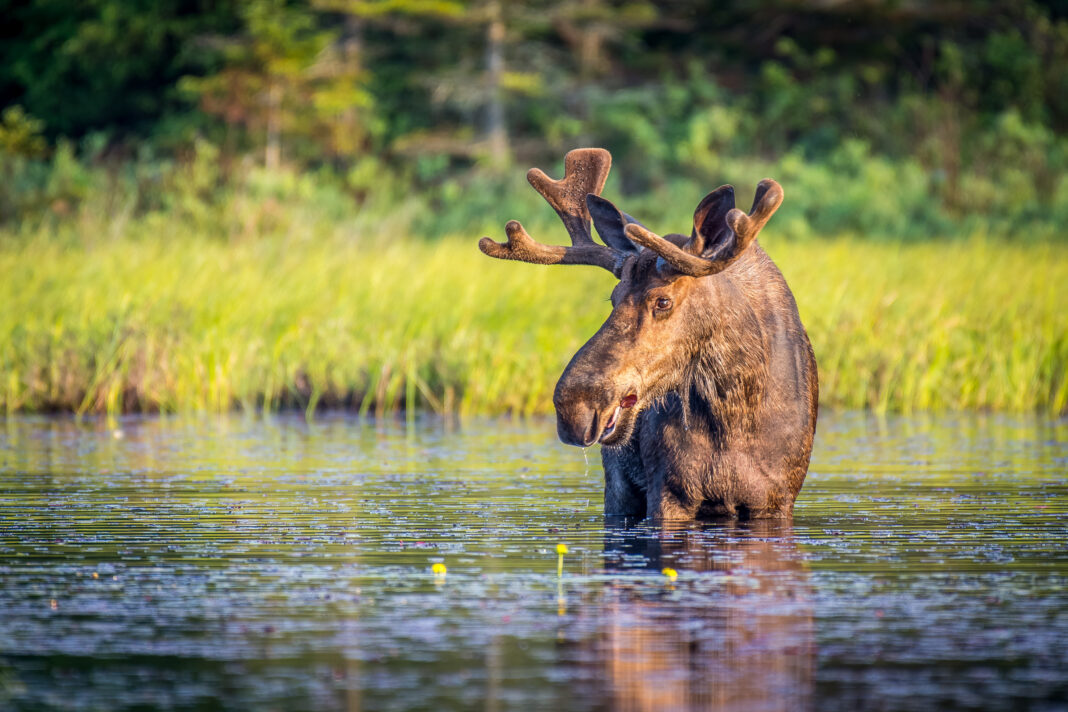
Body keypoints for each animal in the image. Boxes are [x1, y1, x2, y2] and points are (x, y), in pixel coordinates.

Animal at [478, 148, 818, 521]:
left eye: (663, 300)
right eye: (613, 298)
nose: (574, 406)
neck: (736, 414)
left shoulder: (776, 499)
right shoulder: (668, 491)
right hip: (618, 486)